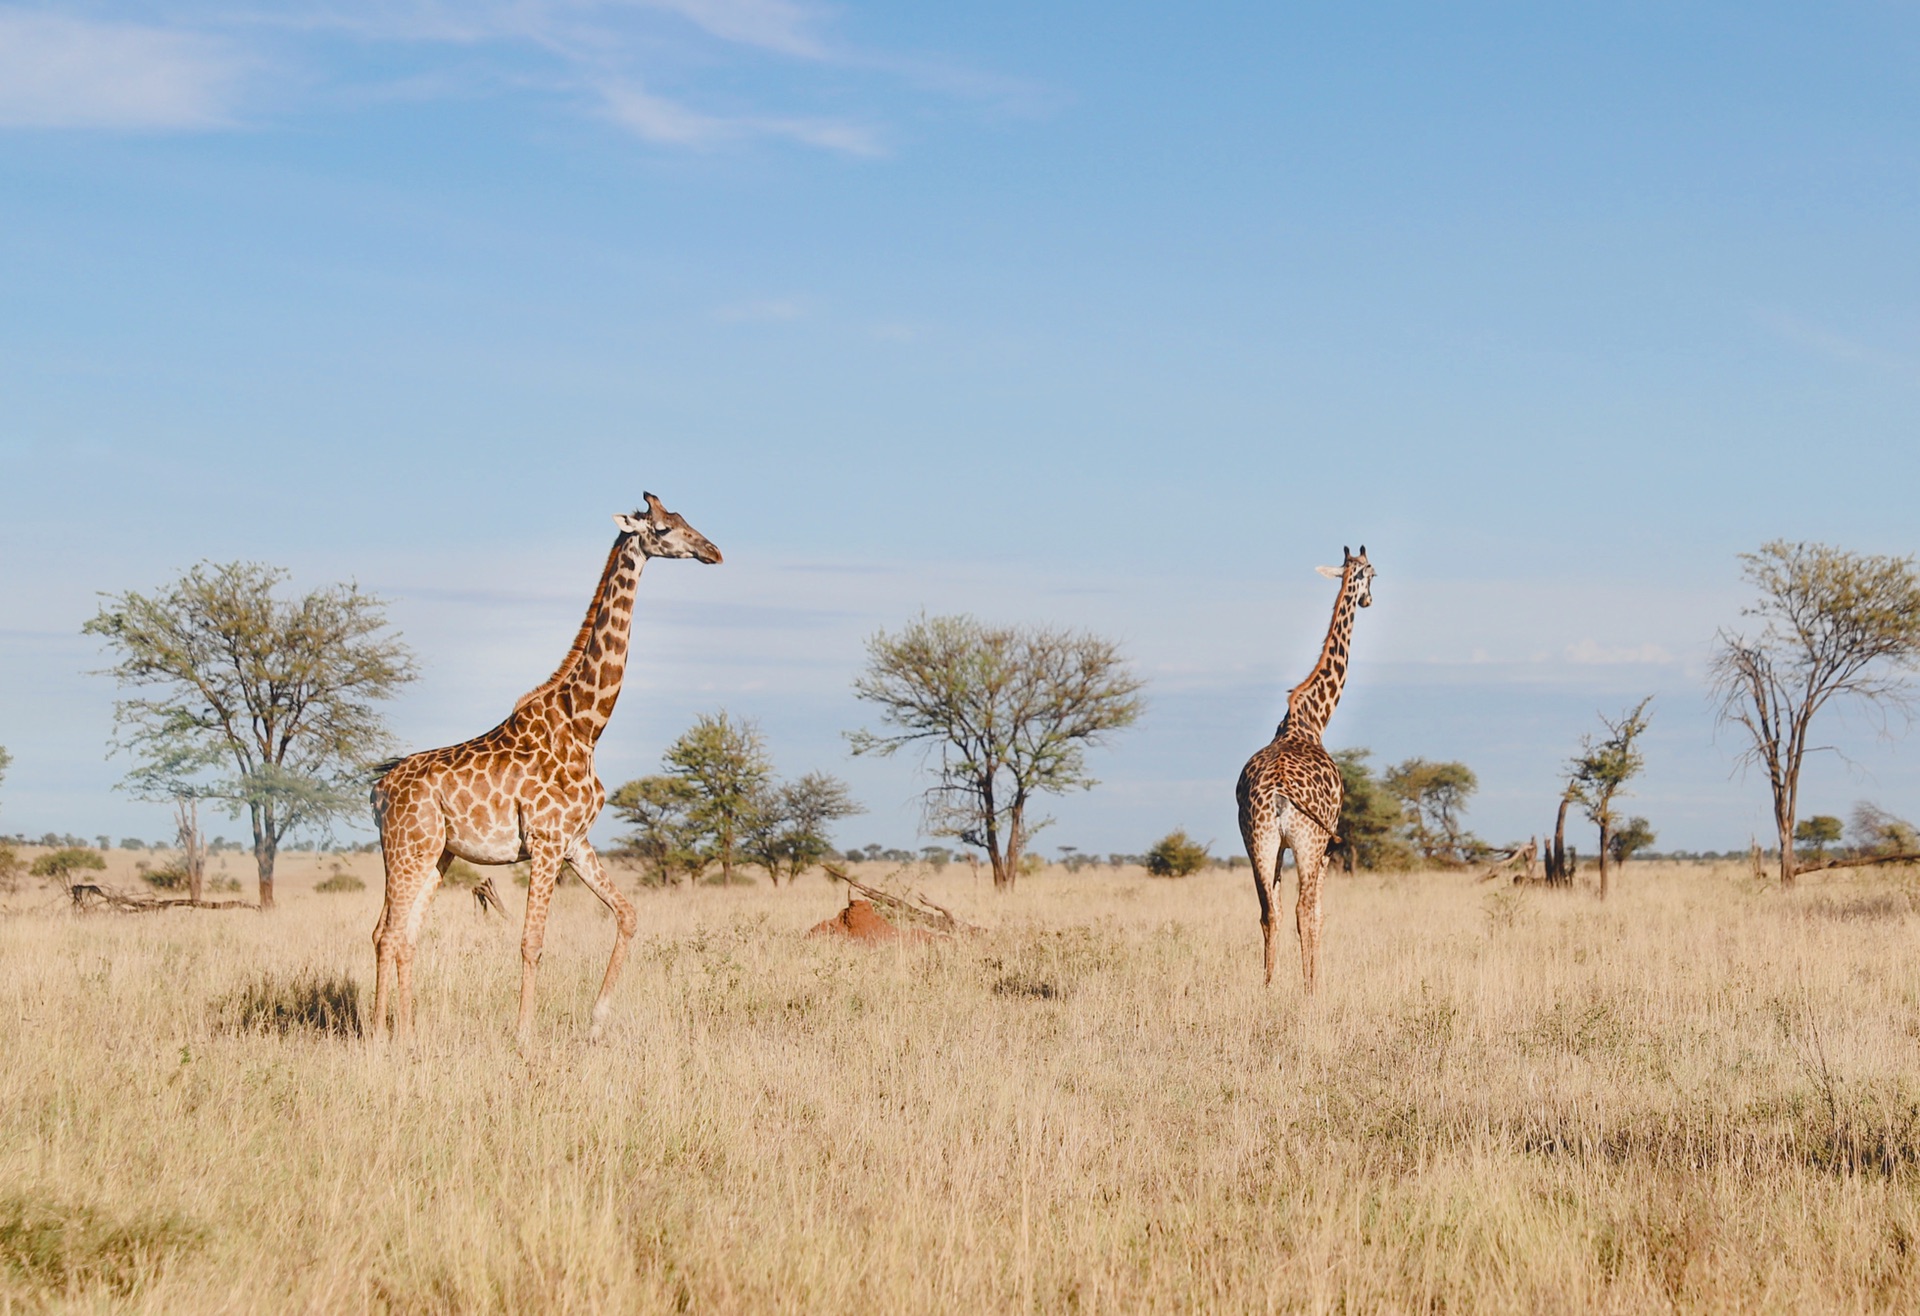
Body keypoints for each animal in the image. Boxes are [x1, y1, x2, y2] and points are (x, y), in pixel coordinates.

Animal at [366, 491, 721, 1037]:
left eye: (683, 519)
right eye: (661, 529)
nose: (712, 551)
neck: (587, 725)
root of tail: (378, 790)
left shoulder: (576, 843)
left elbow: (629, 915)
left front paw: (596, 1022)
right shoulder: (547, 842)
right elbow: (531, 942)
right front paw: (523, 1035)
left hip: (435, 853)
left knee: (399, 933)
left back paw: (399, 1031)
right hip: (408, 848)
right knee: (387, 934)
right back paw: (386, 1034)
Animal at [1236, 545, 1374, 983]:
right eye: (1373, 573)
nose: (1368, 600)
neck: (1311, 719)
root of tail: (1280, 795)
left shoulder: (1278, 846)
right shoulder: (1328, 844)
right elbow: (1318, 915)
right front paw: (1315, 981)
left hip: (1258, 840)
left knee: (1268, 912)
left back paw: (1266, 985)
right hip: (1308, 843)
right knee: (1300, 912)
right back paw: (1309, 987)